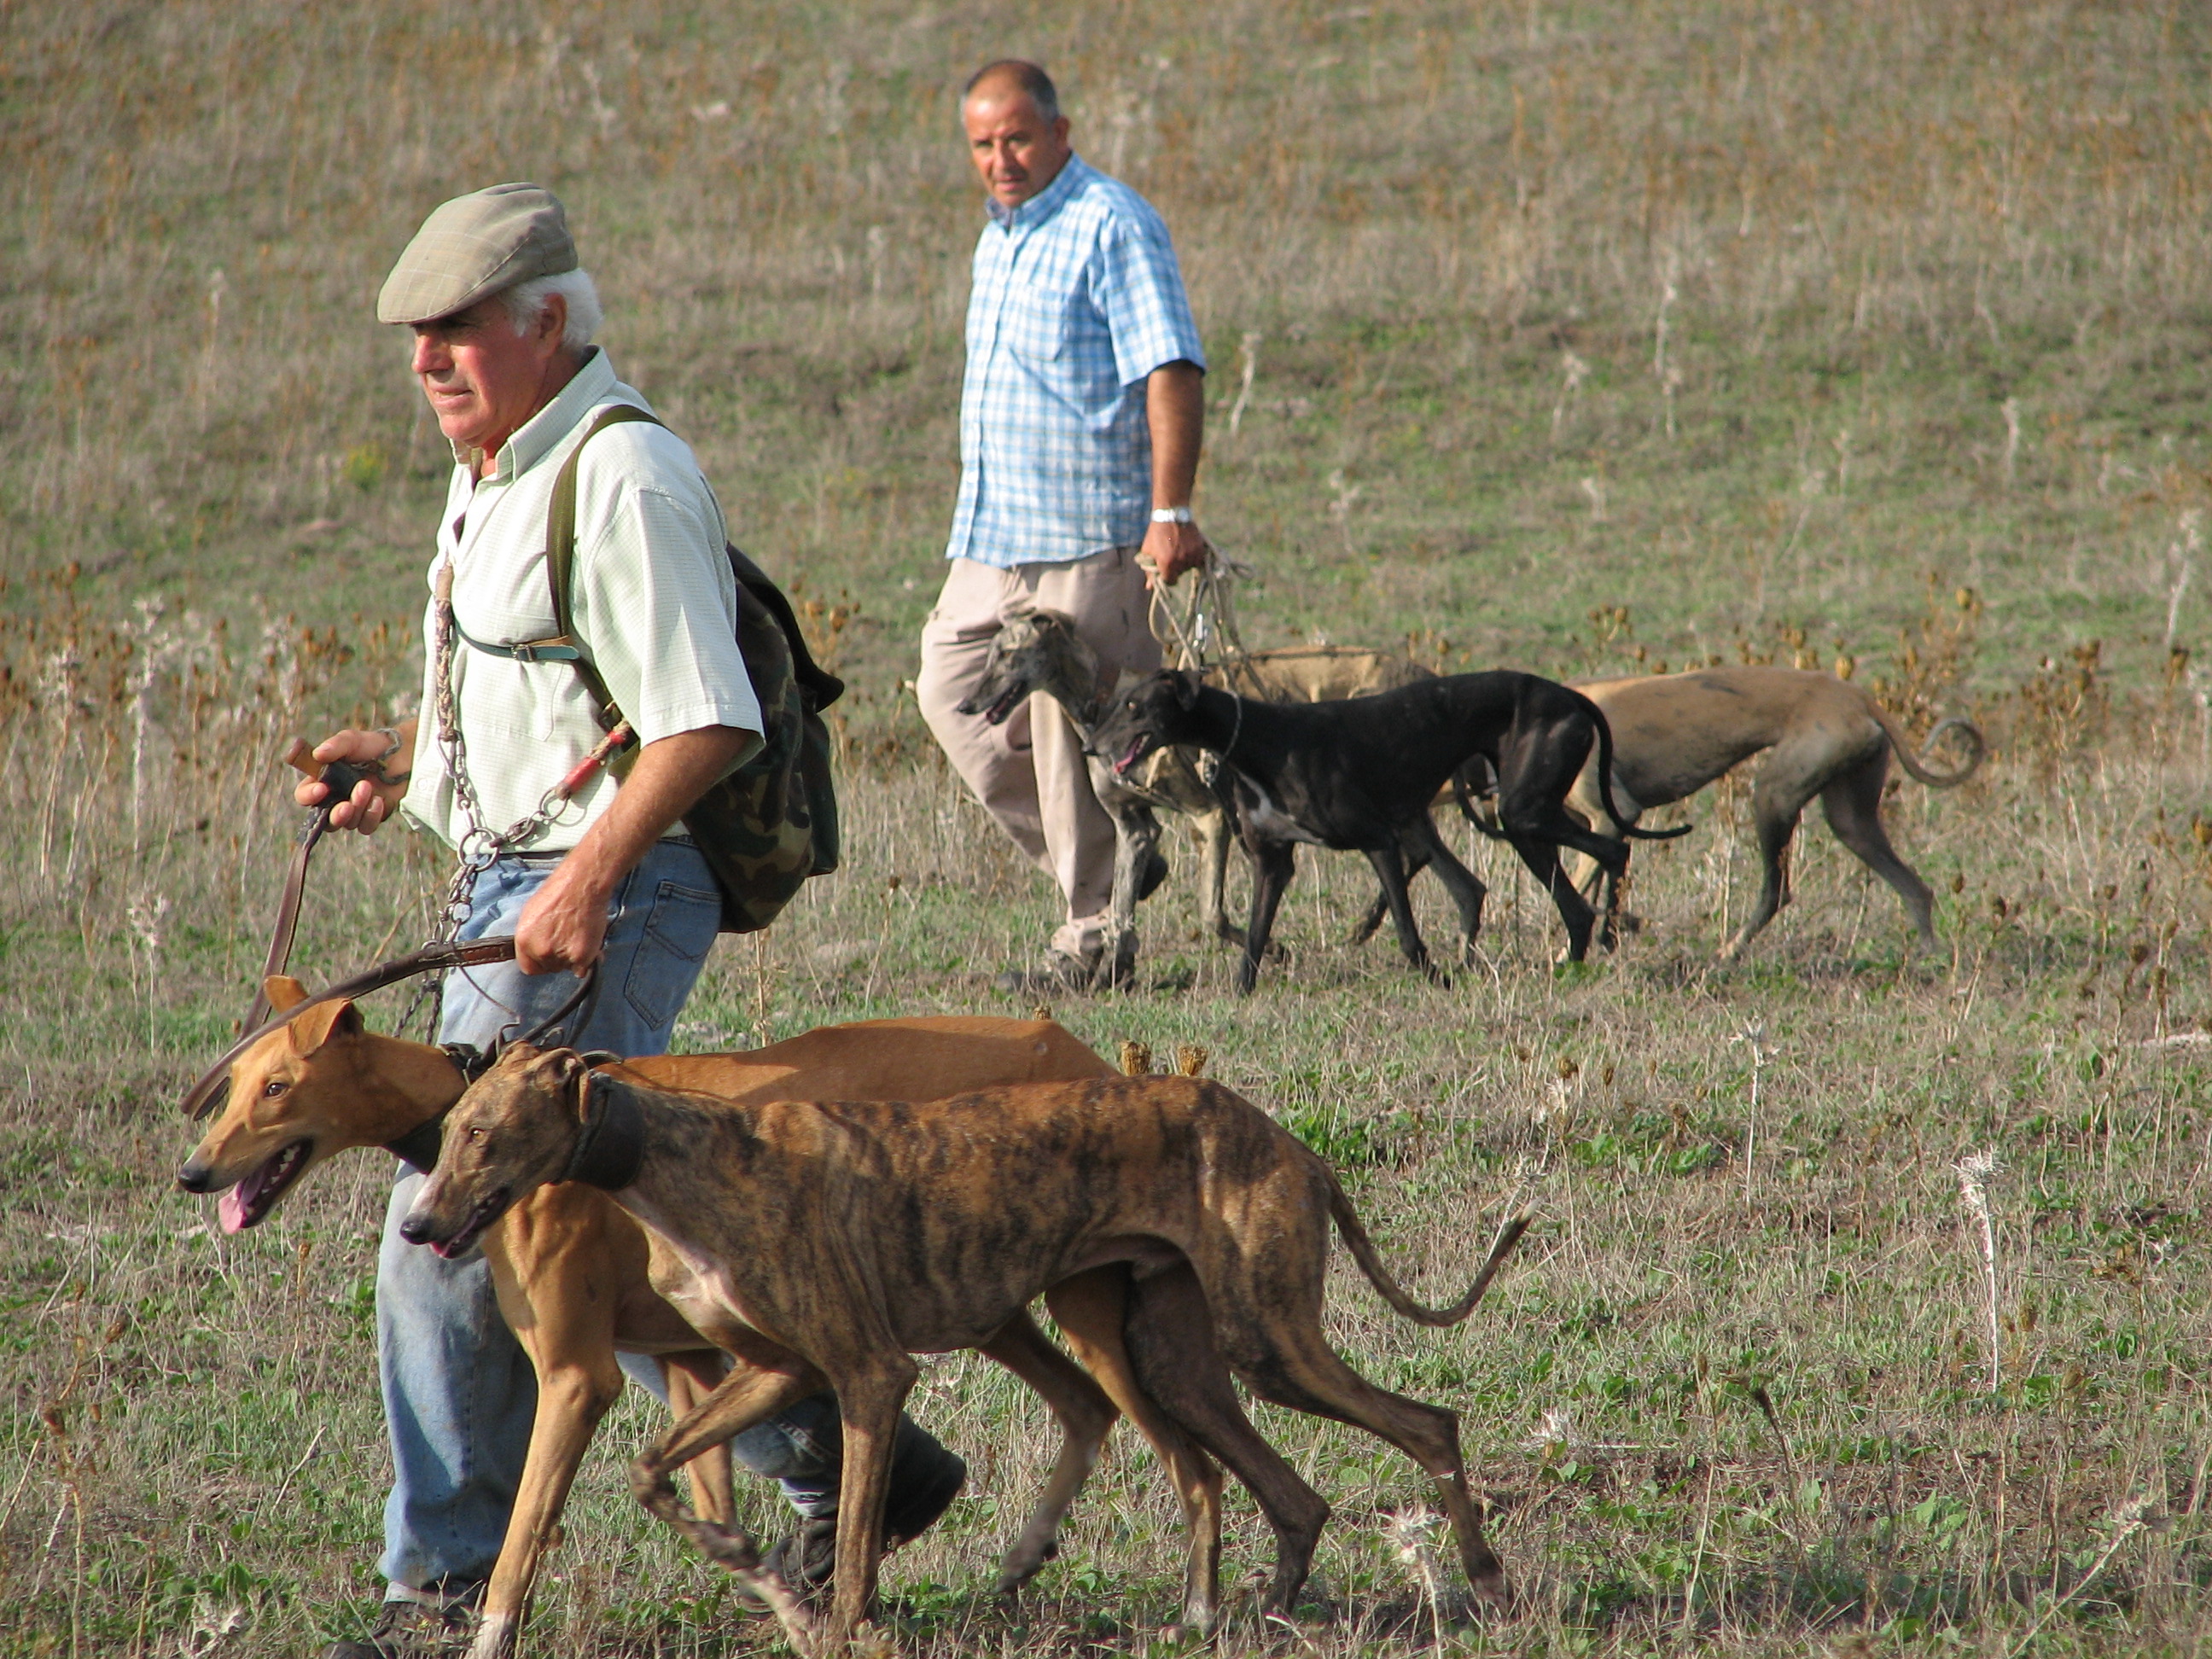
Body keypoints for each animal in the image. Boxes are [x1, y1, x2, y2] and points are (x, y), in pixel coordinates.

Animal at [185, 999, 1247, 1659]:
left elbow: (524, 1535)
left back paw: (1196, 1606)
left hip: (1085, 1312)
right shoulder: (699, 1361)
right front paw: (785, 1600)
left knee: (1188, 1459)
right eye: (235, 1085)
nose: (193, 1173)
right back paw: (1014, 1556)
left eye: (276, 1087)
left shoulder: (580, 1378)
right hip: (991, 1304)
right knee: (1084, 1410)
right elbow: (713, 1508)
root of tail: (1085, 1052)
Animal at [406, 1057, 1530, 1654]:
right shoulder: (777, 1372)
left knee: (1429, 1424)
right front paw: (747, 1561)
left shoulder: (868, 1376)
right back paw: (1242, 1615)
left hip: (1264, 1341)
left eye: (486, 1135)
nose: (419, 1226)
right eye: (450, 1127)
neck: (676, 1163)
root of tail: (1292, 1145)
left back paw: (1484, 1578)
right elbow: (651, 1471)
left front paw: (839, 1622)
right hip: (1184, 1356)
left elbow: (859, 1541)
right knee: (1285, 1493)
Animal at [1092, 672, 1690, 995]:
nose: (1091, 748)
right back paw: (1583, 952)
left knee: (1611, 847)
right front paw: (1240, 992)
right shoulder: (1273, 862)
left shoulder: (1378, 840)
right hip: (1525, 820)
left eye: (1136, 707)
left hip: (1525, 810)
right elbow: (1256, 939)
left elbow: (1404, 930)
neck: (1261, 741)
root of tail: (1572, 696)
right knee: (1584, 885)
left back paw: (1604, 935)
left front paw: (1436, 979)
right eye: (1119, 703)